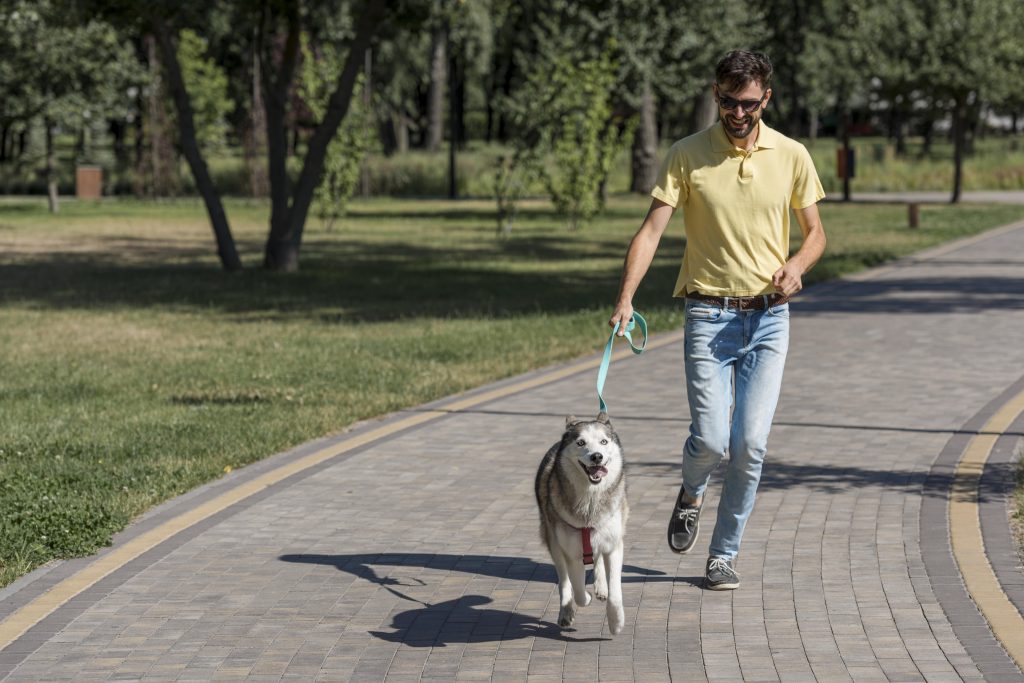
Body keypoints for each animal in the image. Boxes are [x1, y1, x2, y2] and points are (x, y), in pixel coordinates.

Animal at [532, 413, 626, 634]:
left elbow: (615, 590)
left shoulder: (614, 546)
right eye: (581, 442)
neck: (590, 500)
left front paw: (616, 622)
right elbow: (579, 592)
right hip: (554, 541)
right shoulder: (572, 552)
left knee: (597, 559)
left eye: (604, 442)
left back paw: (601, 587)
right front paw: (586, 598)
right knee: (564, 580)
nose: (597, 456)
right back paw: (566, 611)